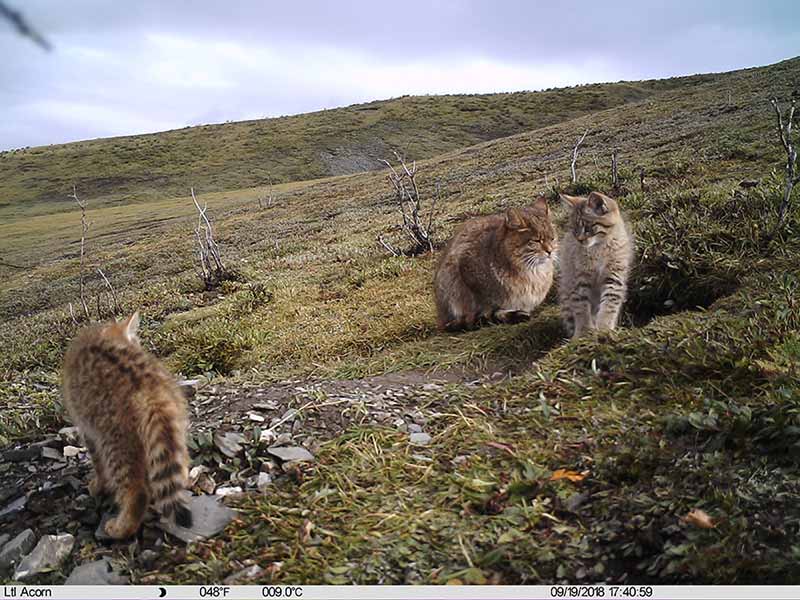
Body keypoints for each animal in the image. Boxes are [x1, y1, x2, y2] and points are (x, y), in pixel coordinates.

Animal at [62, 314, 192, 540]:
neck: (104, 333)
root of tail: (149, 388)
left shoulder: (88, 429)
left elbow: (98, 463)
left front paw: (99, 484)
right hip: (172, 425)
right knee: (178, 460)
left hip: (115, 438)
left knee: (136, 491)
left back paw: (122, 526)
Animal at [560, 192, 636, 338]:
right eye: (574, 229)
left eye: (587, 227)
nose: (579, 240)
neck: (598, 248)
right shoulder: (580, 279)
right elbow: (581, 307)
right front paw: (584, 333)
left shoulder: (614, 276)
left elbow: (609, 304)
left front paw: (604, 328)